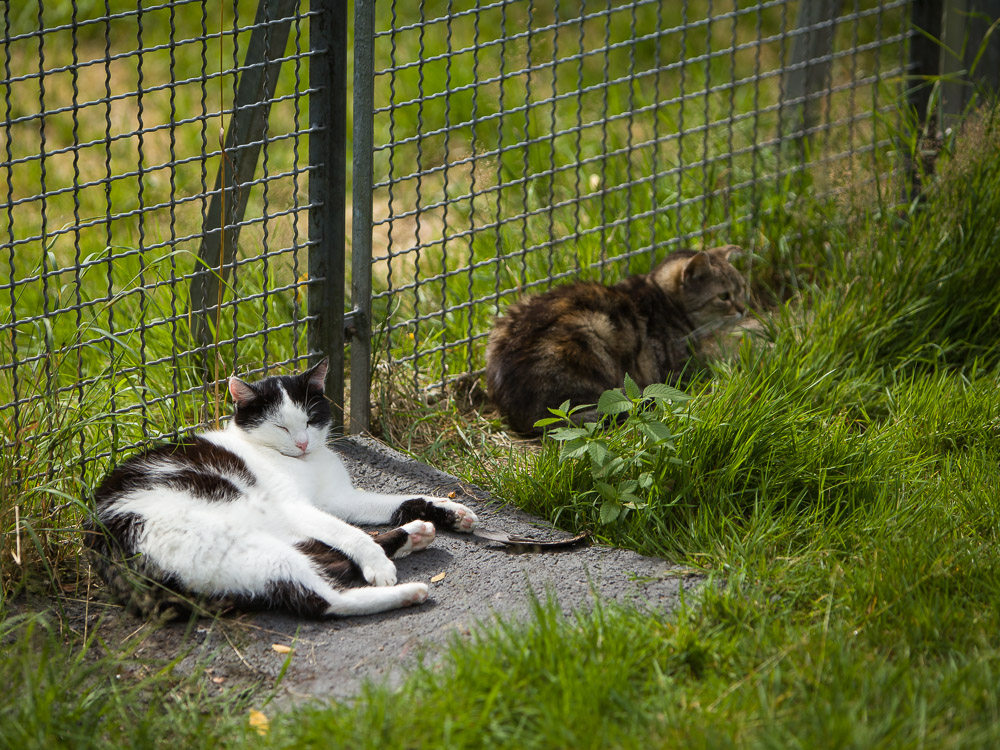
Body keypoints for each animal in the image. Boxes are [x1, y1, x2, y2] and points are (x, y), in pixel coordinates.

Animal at [85, 358, 476, 624]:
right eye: (280, 427)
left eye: (310, 420)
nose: (303, 442)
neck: (304, 463)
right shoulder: (296, 506)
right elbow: (351, 534)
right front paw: (378, 565)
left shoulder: (338, 499)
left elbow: (397, 502)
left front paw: (448, 510)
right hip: (244, 546)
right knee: (323, 599)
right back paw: (408, 590)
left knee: (326, 558)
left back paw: (416, 534)